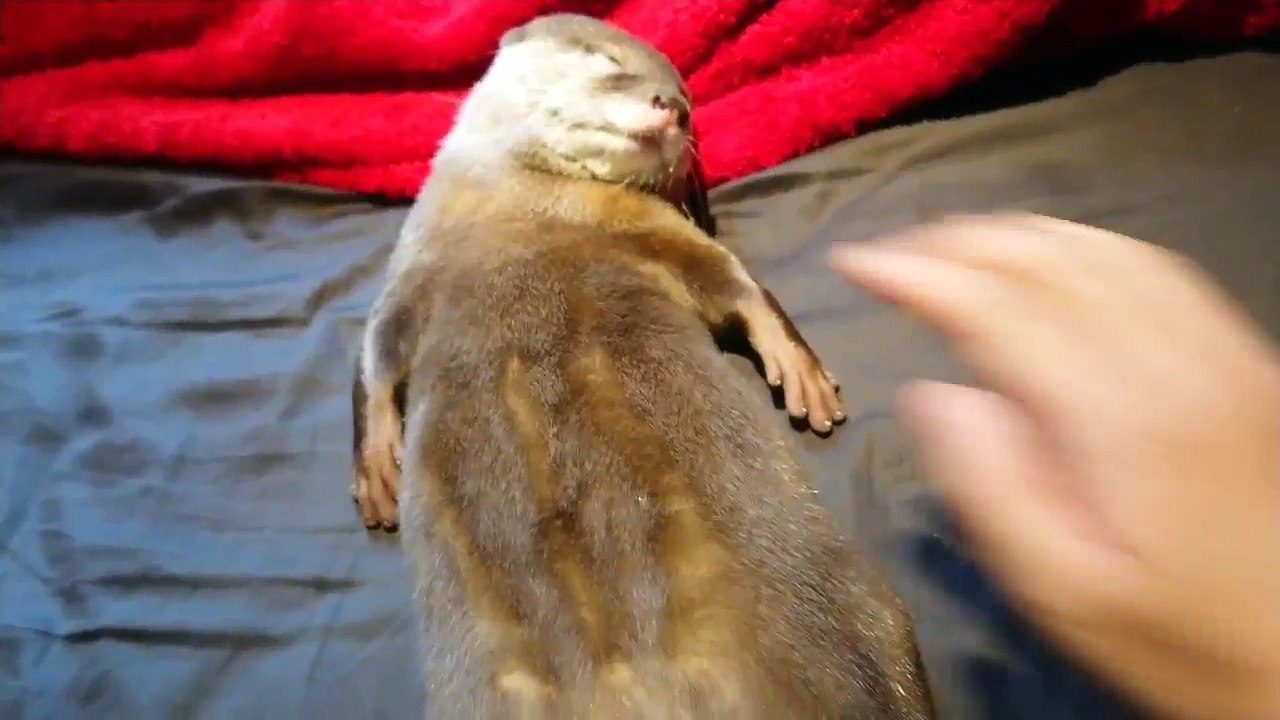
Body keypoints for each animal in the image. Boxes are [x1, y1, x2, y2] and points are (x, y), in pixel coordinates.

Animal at [349, 13, 933, 720]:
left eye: (687, 98)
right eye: (610, 62)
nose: (672, 108)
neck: (523, 208)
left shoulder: (656, 232)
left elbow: (735, 284)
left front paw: (802, 374)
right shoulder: (413, 270)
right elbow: (375, 356)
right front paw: (379, 470)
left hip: (869, 615)